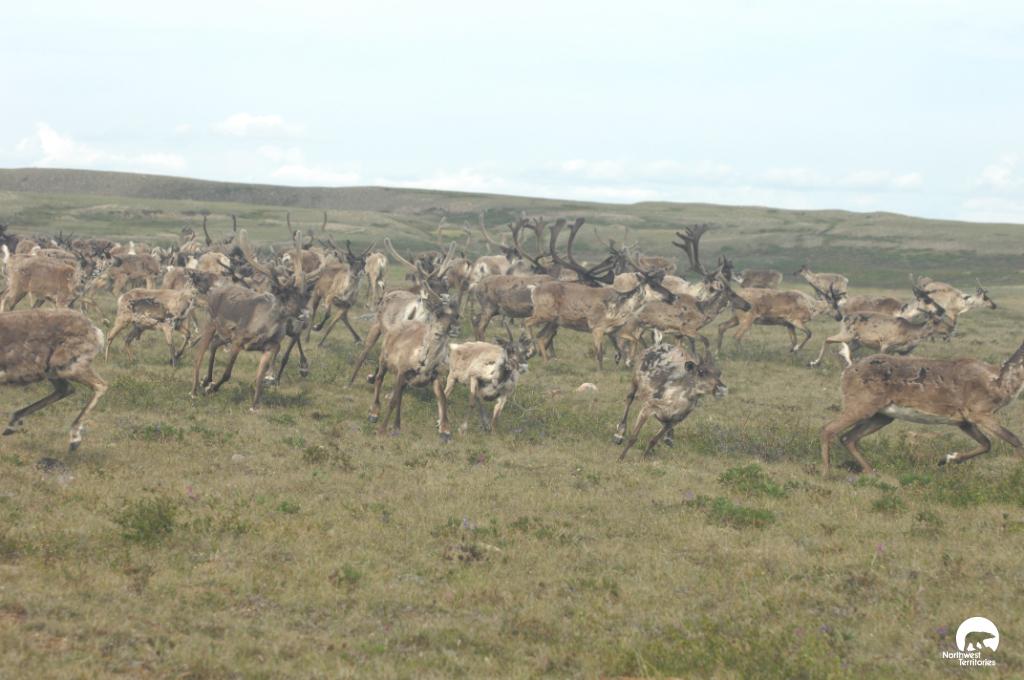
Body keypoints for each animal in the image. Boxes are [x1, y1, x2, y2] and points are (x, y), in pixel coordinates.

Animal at [0, 309, 107, 453]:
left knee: (100, 385)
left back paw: (74, 438)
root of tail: (95, 330)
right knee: (66, 389)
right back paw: (13, 423)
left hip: (66, 367)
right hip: (53, 372)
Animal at [190, 232, 313, 410]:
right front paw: (212, 389)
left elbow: (260, 377)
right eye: (284, 296)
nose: (304, 314)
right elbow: (227, 373)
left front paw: (255, 405)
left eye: (300, 295)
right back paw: (195, 390)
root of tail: (215, 288)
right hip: (210, 323)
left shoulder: (270, 346)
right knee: (199, 355)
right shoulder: (238, 341)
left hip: (225, 334)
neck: (265, 328)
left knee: (214, 344)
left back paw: (206, 380)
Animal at [367, 286, 460, 440]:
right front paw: (381, 431)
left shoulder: (435, 376)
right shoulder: (402, 371)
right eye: (437, 314)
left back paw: (396, 427)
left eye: (455, 317)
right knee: (380, 379)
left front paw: (445, 431)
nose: (455, 328)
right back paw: (374, 412)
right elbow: (392, 401)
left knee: (399, 393)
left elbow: (442, 398)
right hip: (384, 359)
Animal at [820, 339, 1024, 476]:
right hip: (862, 406)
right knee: (828, 429)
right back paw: (827, 474)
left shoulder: (963, 420)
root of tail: (848, 368)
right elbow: (1015, 440)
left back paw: (872, 472)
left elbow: (986, 444)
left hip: (882, 415)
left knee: (848, 437)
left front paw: (946, 459)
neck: (1001, 381)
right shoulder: (980, 412)